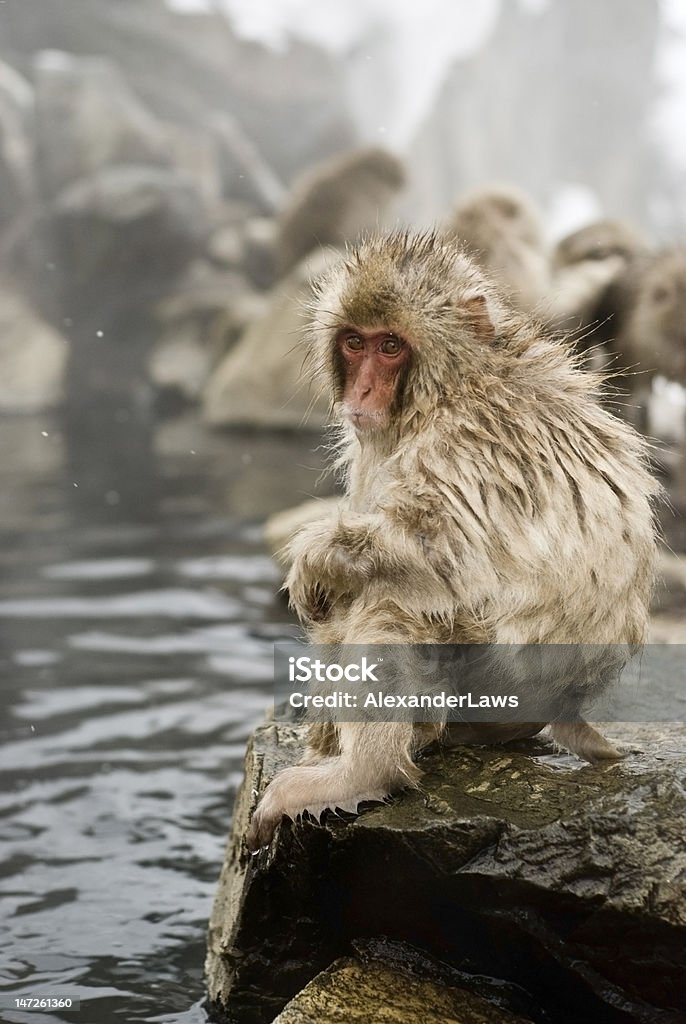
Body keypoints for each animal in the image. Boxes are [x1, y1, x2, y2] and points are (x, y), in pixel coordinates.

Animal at [247, 230, 659, 847]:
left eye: (391, 346)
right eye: (355, 343)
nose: (364, 390)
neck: (453, 382)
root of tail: (570, 702)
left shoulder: (467, 437)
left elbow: (442, 551)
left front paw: (312, 559)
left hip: (503, 676)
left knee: (393, 598)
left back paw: (364, 771)